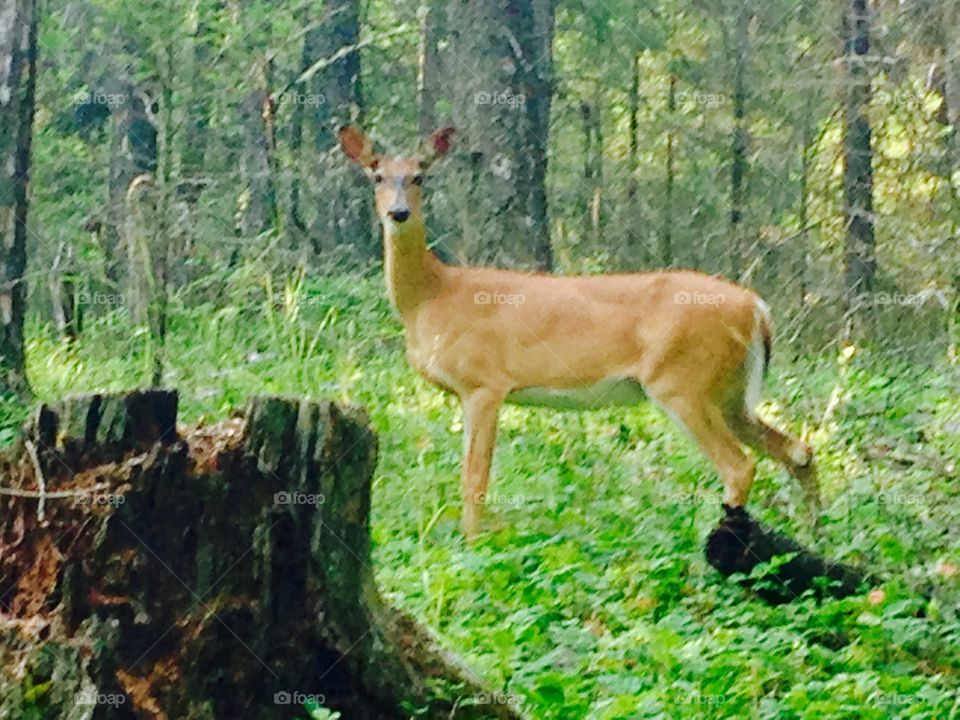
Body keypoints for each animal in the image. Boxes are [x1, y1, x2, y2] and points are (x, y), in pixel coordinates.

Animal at [339, 125, 820, 539]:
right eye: (377, 175)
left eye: (419, 176)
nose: (398, 212)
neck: (432, 296)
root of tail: (757, 308)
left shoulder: (485, 382)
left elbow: (474, 479)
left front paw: (471, 543)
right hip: (730, 392)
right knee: (799, 451)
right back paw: (815, 535)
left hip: (683, 380)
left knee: (739, 466)